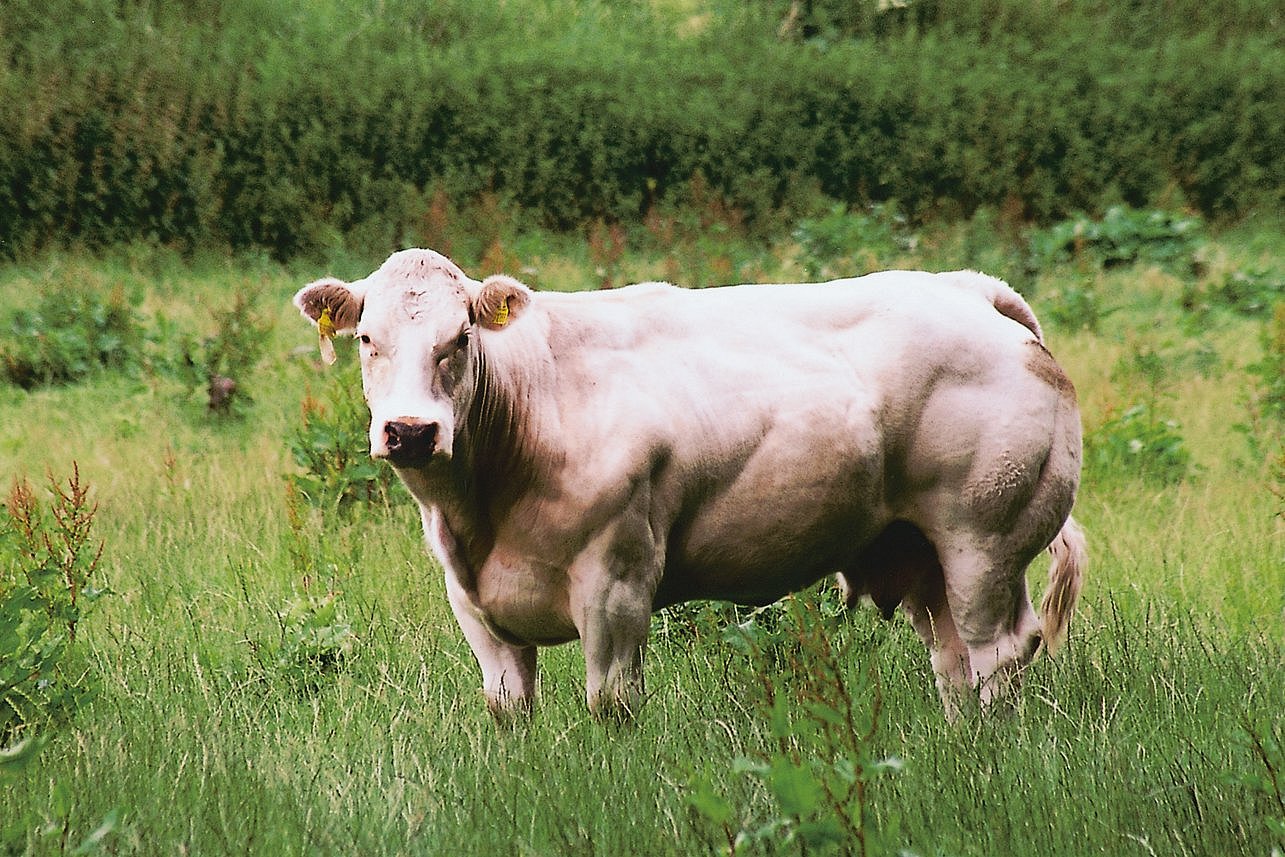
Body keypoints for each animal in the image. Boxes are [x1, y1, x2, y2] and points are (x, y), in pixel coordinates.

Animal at [298, 246, 1084, 719]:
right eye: (366, 339)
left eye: (459, 338)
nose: (410, 430)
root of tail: (967, 288)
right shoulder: (472, 601)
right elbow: (509, 706)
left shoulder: (617, 580)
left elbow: (611, 701)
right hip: (921, 553)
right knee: (953, 664)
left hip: (982, 539)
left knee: (997, 654)